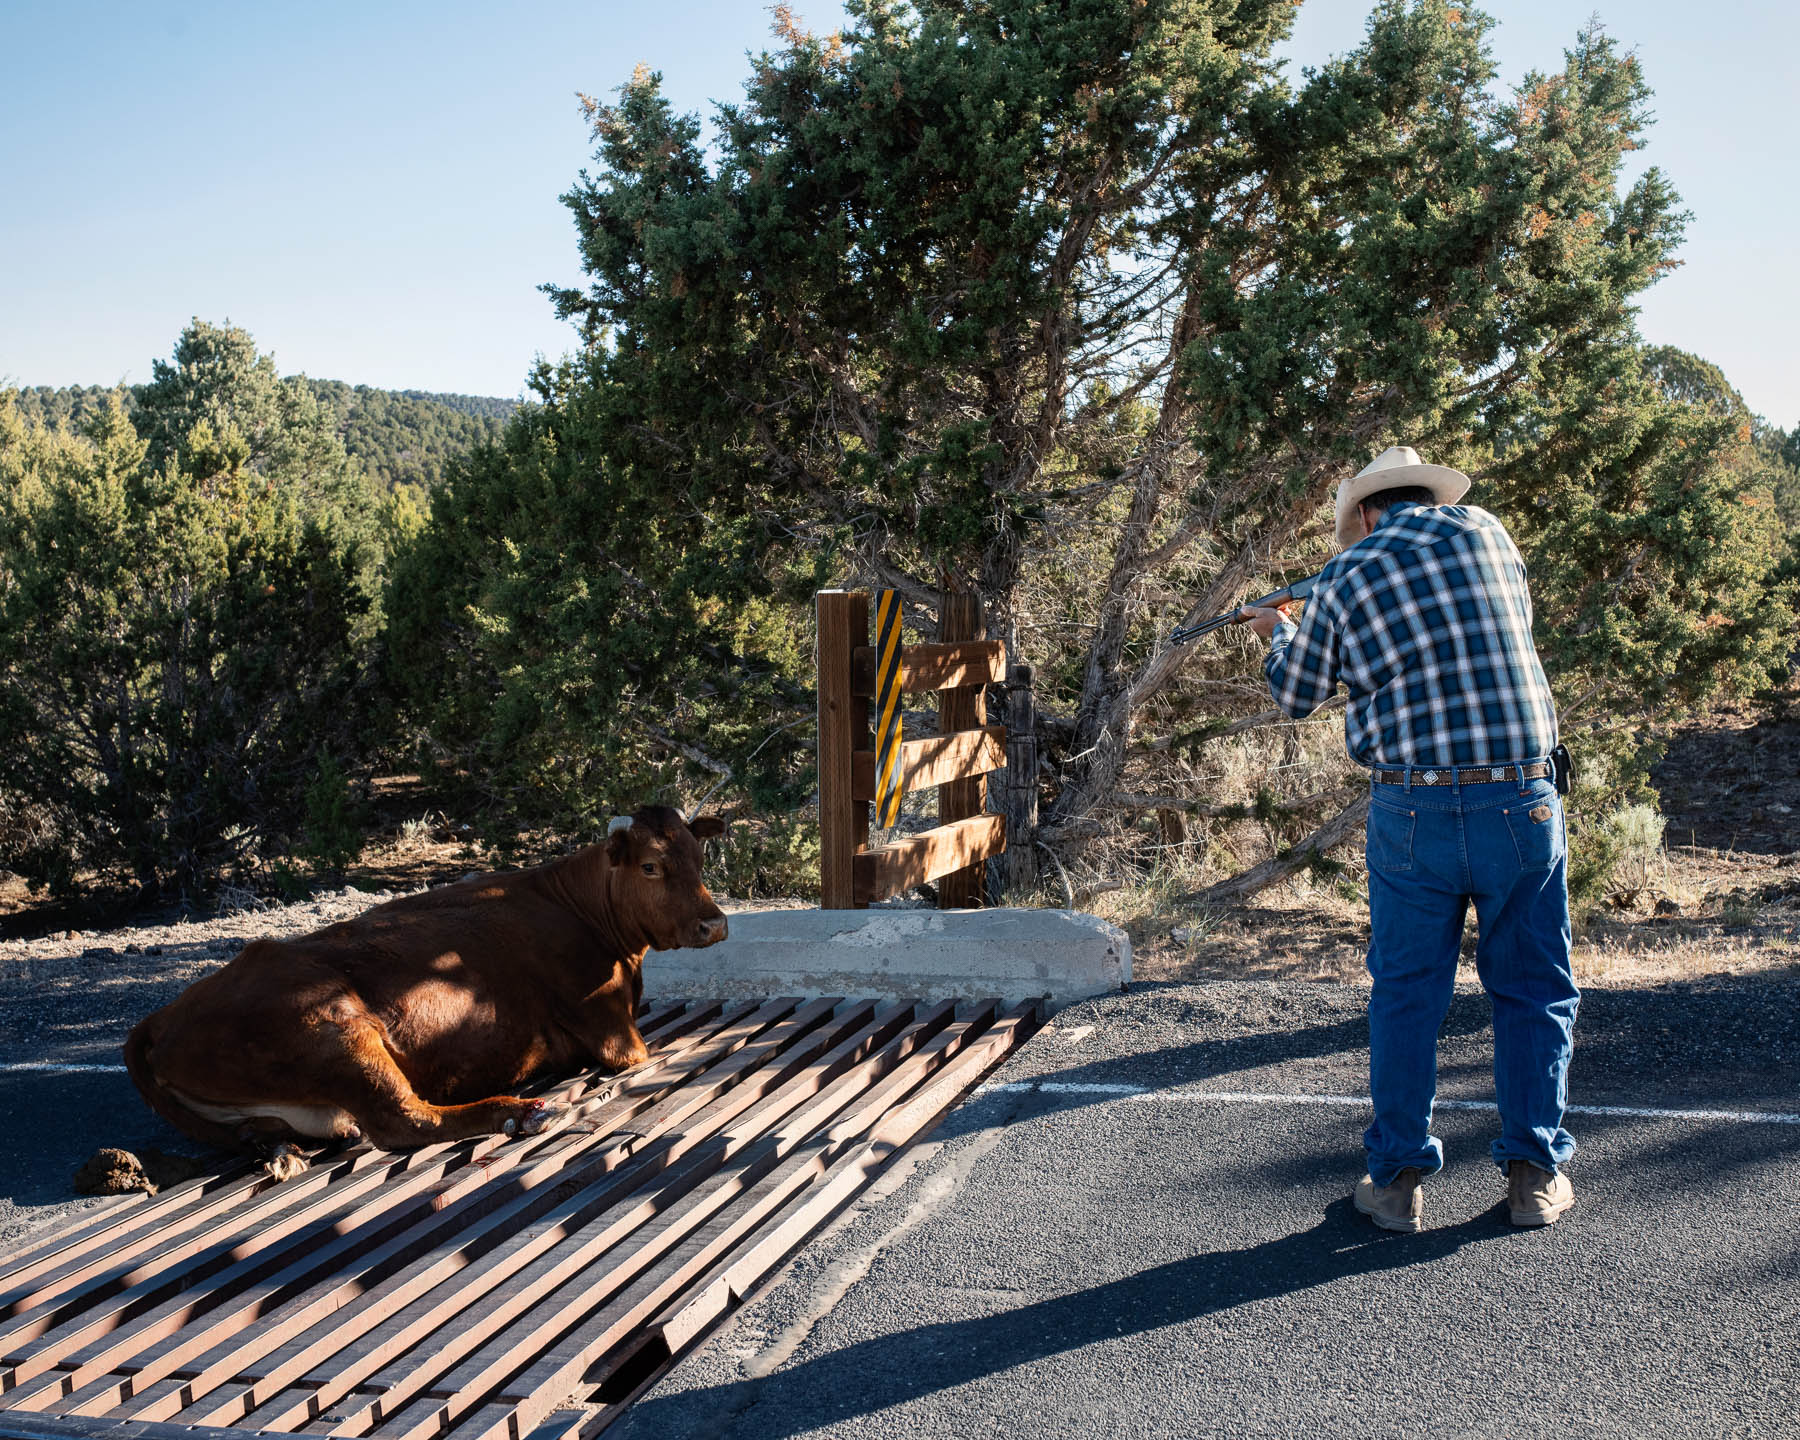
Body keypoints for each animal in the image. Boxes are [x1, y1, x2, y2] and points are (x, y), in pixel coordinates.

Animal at [123, 802, 727, 1173]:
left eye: (699, 858)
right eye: (650, 866)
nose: (715, 924)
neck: (577, 905)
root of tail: (160, 1017)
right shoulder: (613, 1031)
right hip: (340, 1035)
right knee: (405, 1118)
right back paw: (520, 1111)